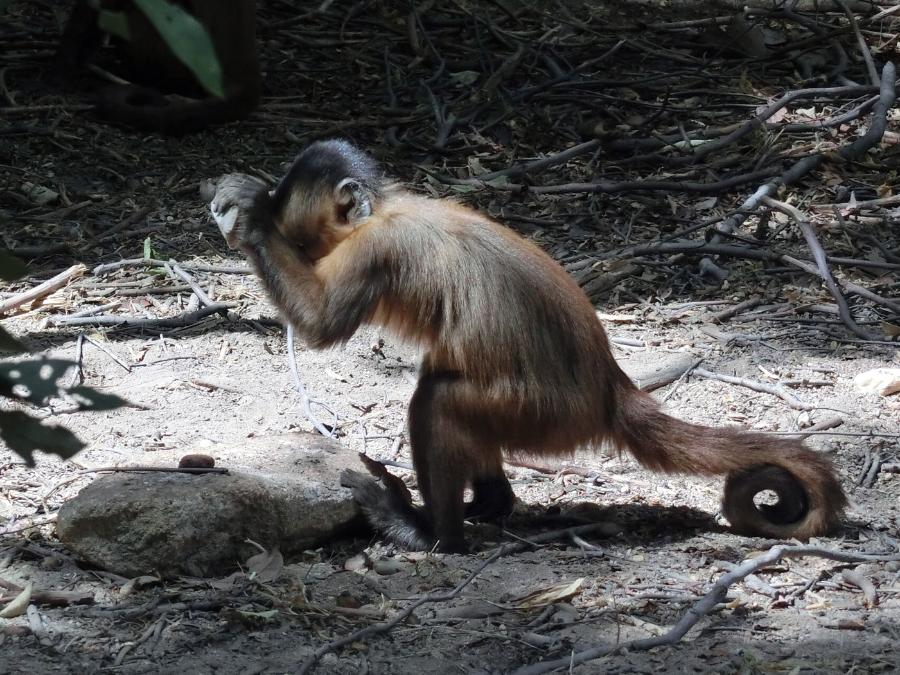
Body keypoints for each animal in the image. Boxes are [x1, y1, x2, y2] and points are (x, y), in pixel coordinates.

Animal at [204, 139, 844, 556]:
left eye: (289, 219)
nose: (283, 231)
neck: (382, 210)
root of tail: (611, 389)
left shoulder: (376, 248)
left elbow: (321, 327)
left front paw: (249, 214)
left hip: (544, 418)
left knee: (438, 398)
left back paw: (436, 536)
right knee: (443, 381)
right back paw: (488, 504)